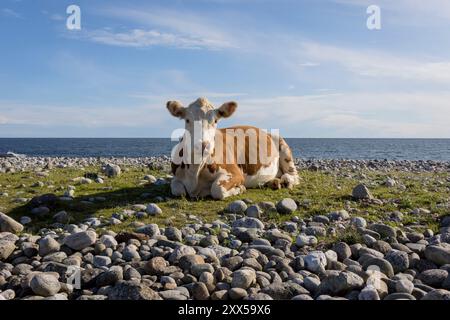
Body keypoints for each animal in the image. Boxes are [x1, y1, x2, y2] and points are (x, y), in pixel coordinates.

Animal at [165, 96, 298, 199]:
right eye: (187, 120)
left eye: (215, 121)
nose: (203, 145)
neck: (195, 172)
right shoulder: (176, 177)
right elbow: (178, 190)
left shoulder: (235, 173)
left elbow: (217, 189)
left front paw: (241, 188)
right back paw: (273, 182)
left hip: (283, 146)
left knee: (293, 176)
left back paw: (284, 181)